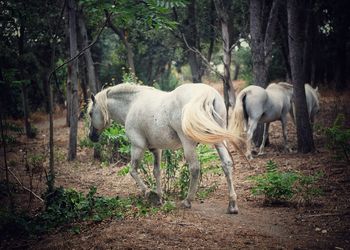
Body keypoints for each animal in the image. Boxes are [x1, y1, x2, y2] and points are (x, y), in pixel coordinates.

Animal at [87, 83, 243, 214]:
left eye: (90, 113)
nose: (91, 136)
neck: (132, 104)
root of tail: (207, 94)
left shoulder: (137, 146)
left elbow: (133, 171)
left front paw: (149, 193)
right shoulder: (156, 149)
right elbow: (157, 172)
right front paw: (160, 197)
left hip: (188, 144)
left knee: (194, 168)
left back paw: (187, 201)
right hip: (218, 140)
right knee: (226, 164)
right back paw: (232, 205)